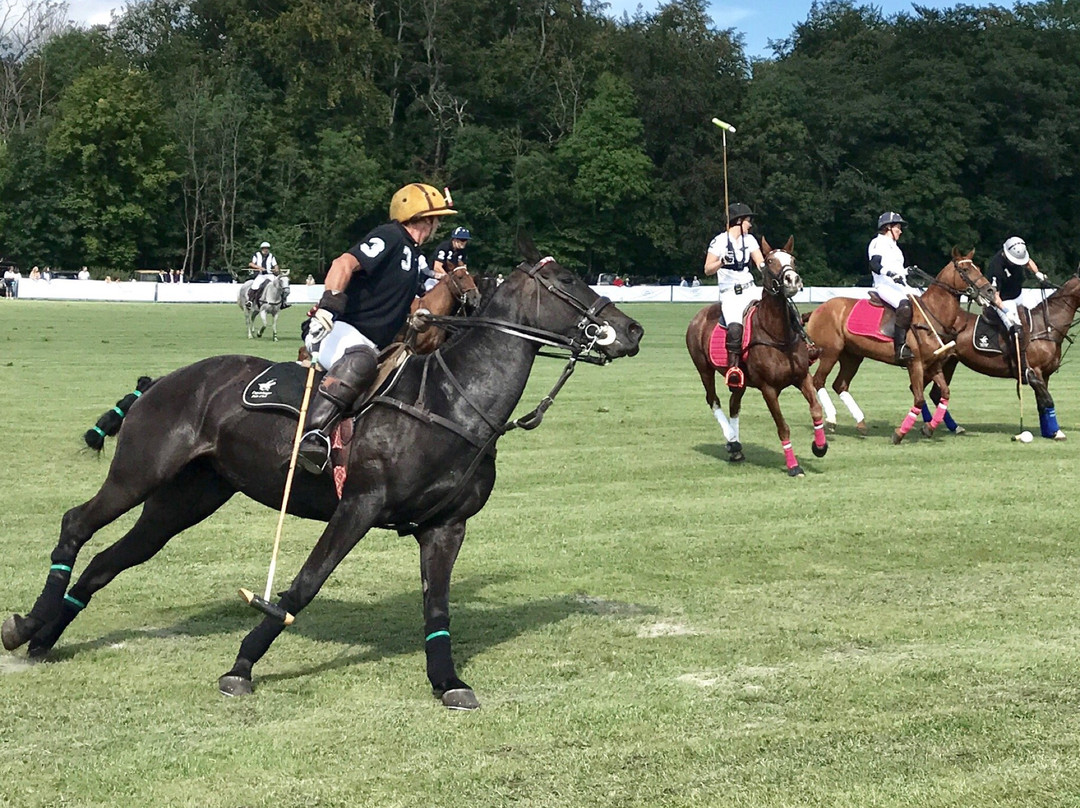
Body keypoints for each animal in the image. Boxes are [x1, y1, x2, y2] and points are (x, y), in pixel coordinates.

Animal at [2, 243, 639, 708]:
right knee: (77, 522)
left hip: (190, 496)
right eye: (570, 282)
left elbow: (437, 608)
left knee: (113, 559)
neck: (453, 403)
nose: (632, 331)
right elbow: (304, 586)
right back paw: (26, 625)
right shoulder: (358, 504)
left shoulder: (446, 525)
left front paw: (449, 683)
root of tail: (162, 380)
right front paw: (242, 666)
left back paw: (45, 636)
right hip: (140, 470)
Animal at [682, 239, 825, 479]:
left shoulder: (802, 377)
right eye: (770, 261)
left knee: (733, 404)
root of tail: (698, 315)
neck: (778, 335)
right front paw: (794, 466)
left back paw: (736, 448)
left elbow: (816, 409)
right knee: (713, 400)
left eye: (793, 259)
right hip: (703, 368)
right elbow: (783, 427)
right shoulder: (768, 389)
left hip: (740, 380)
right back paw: (732, 441)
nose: (792, 280)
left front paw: (820, 447)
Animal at [807, 250, 989, 445]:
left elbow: (945, 393)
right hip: (830, 352)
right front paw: (899, 433)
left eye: (978, 268)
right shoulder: (915, 364)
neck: (932, 314)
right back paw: (832, 419)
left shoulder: (933, 365)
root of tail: (816, 311)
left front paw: (929, 428)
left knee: (840, 385)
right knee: (818, 381)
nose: (989, 290)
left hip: (852, 355)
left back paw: (861, 423)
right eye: (965, 269)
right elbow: (919, 399)